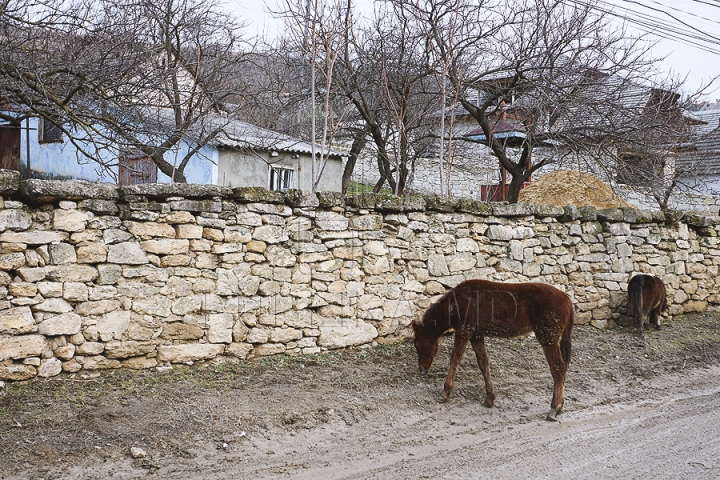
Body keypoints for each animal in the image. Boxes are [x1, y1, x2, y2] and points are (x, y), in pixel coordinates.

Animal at [410, 280, 572, 422]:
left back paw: (554, 409)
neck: (455, 303)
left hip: (548, 337)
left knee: (558, 368)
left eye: (417, 344)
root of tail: (568, 301)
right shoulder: (476, 335)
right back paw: (560, 407)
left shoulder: (464, 331)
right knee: (563, 368)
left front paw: (445, 393)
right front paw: (489, 399)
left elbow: (455, 359)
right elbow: (483, 363)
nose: (422, 370)